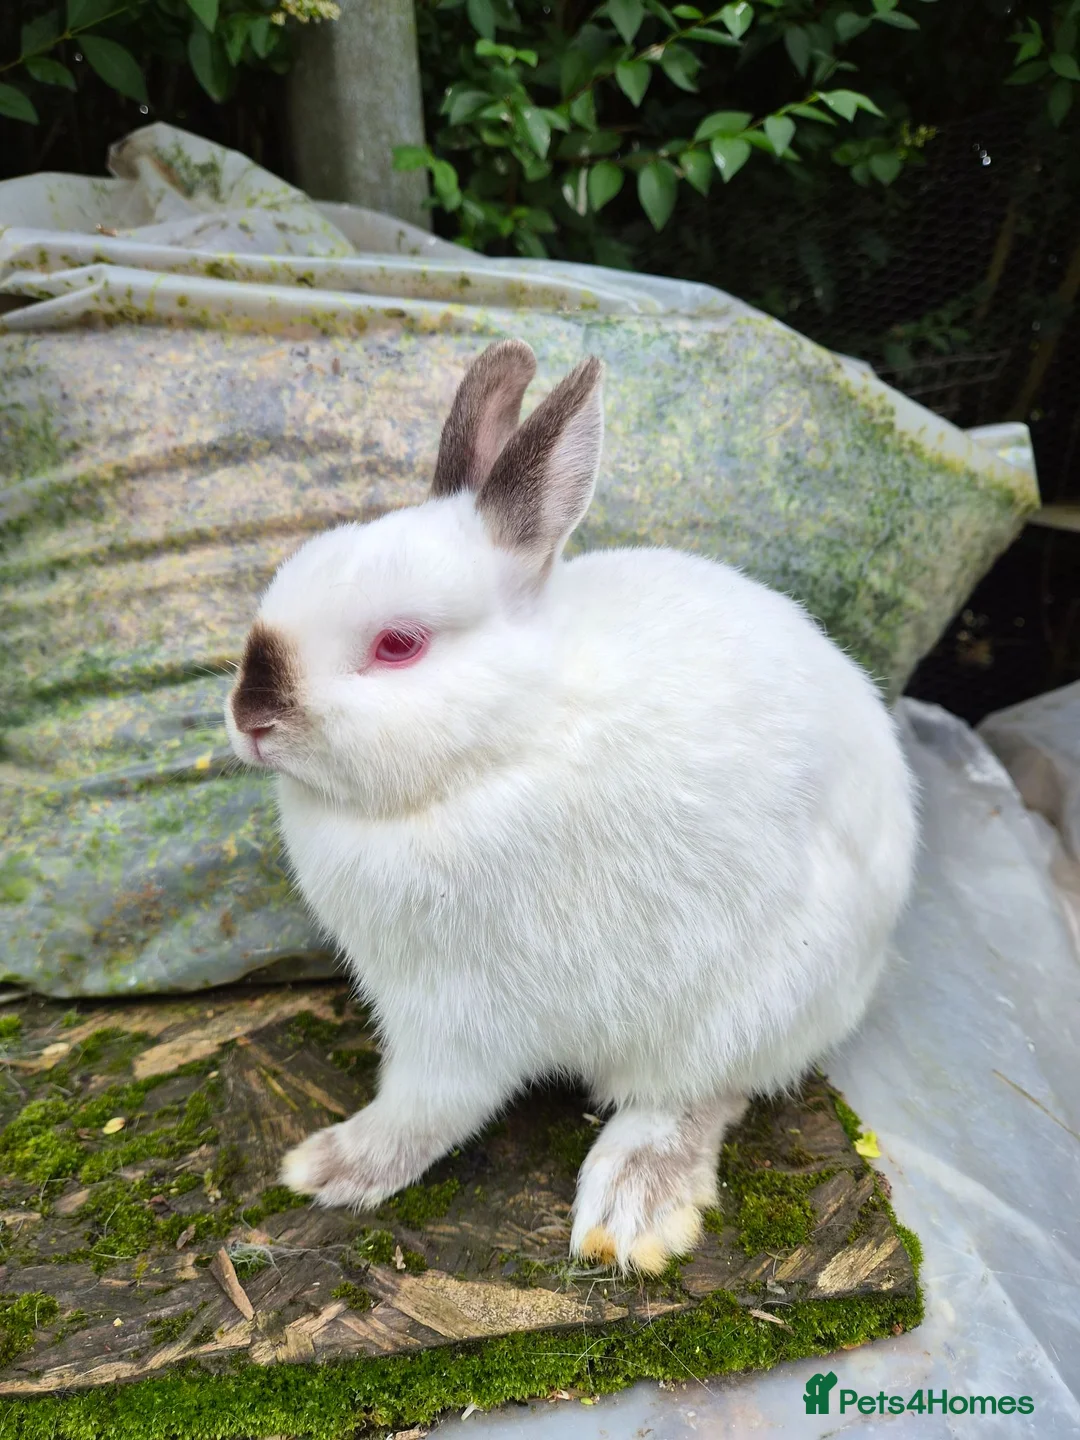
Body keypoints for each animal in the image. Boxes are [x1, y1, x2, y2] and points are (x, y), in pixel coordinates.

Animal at [223, 338, 918, 1275]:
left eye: (399, 644)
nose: (250, 716)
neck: (511, 738)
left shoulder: (456, 1014)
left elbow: (426, 1107)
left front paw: (332, 1167)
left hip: (742, 1006)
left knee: (697, 1096)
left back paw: (631, 1213)